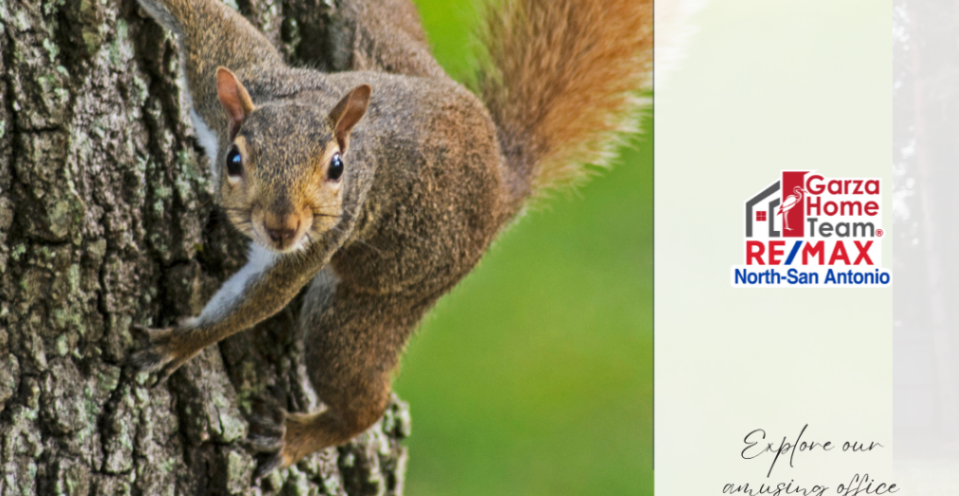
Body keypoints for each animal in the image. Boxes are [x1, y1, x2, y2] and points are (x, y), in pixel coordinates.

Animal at [129, 0, 652, 478]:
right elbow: (206, 21)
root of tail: (503, 182)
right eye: (234, 160)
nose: (283, 228)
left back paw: (296, 438)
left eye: (336, 167)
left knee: (362, 398)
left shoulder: (329, 232)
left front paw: (181, 342)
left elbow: (262, 297)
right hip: (386, 47)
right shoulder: (229, 74)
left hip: (370, 304)